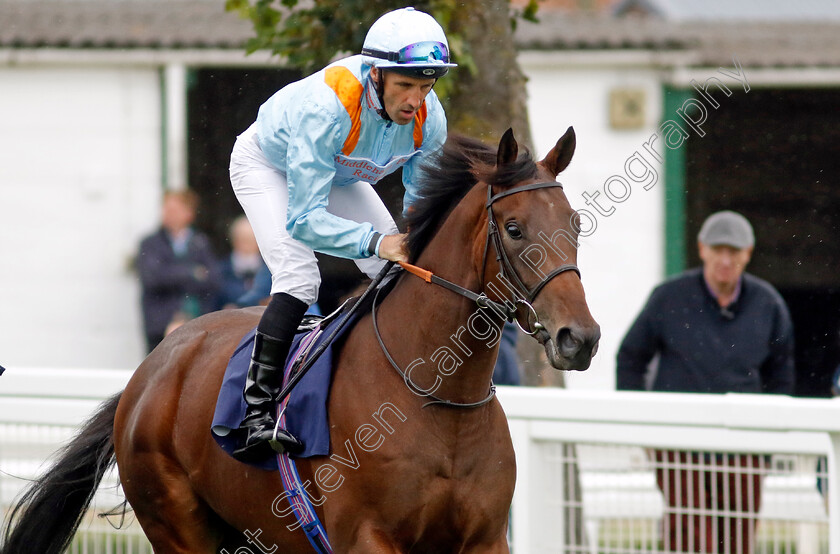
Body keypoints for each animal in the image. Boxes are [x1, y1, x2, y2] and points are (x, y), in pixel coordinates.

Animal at [3, 126, 600, 552]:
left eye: (575, 223)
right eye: (515, 229)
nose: (581, 338)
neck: (437, 399)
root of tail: (146, 374)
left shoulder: (484, 538)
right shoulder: (366, 537)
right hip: (177, 523)